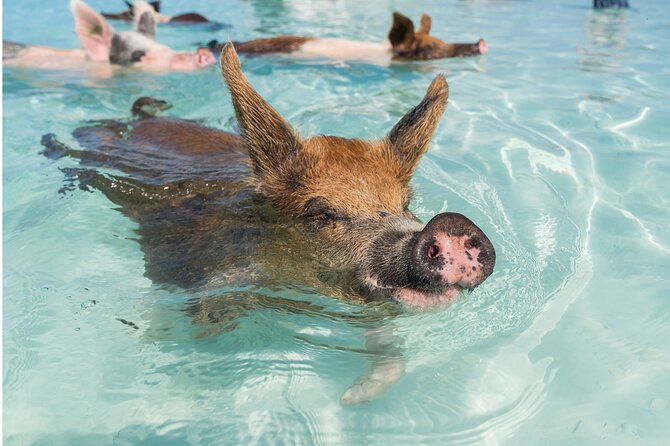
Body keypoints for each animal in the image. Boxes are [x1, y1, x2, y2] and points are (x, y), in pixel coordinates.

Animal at [40, 43, 494, 402]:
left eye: (406, 204)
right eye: (320, 214)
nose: (451, 224)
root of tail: (146, 123)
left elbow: (388, 350)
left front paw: (352, 398)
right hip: (99, 143)